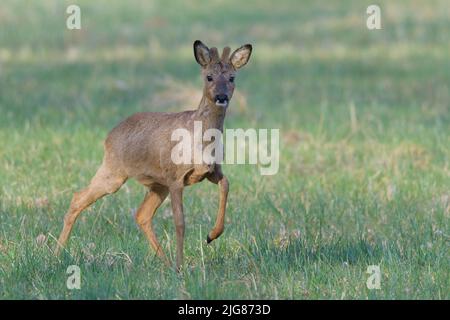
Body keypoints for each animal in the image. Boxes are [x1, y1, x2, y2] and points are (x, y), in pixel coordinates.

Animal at [54, 40, 251, 270]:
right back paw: (55, 254)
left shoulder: (212, 171)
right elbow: (180, 222)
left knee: (142, 215)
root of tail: (109, 136)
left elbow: (226, 184)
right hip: (114, 172)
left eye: (232, 77)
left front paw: (212, 235)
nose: (221, 97)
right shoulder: (175, 177)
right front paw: (181, 266)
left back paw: (165, 262)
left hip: (157, 184)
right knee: (78, 198)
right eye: (209, 76)